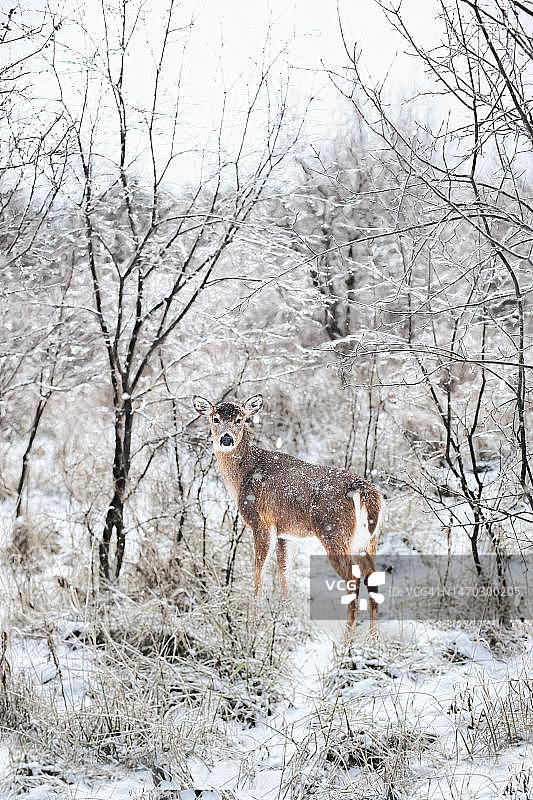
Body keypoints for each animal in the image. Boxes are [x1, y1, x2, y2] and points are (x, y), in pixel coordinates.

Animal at [192, 393, 384, 633]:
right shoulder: (286, 533)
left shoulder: (261, 522)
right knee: (372, 576)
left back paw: (348, 636)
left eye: (240, 420)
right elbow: (284, 573)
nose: (226, 439)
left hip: (334, 532)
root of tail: (365, 491)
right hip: (370, 539)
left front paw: (252, 621)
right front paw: (284, 618)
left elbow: (259, 572)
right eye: (215, 418)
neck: (243, 476)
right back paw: (373, 637)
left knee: (353, 578)